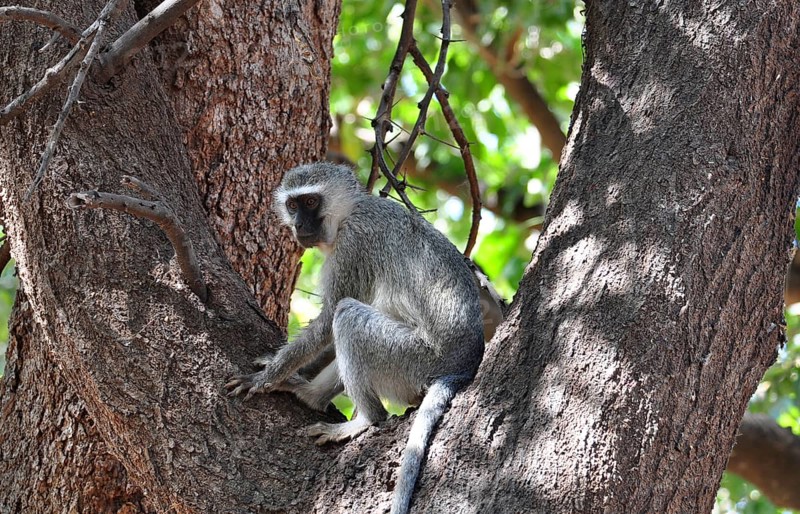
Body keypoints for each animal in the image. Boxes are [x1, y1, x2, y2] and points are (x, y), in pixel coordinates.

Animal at [226, 162, 485, 514]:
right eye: (292, 205)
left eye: (310, 202)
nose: (298, 224)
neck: (349, 212)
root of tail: (463, 366)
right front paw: (285, 372)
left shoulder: (353, 243)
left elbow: (327, 320)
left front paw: (265, 378)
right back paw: (310, 394)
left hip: (413, 360)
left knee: (347, 316)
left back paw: (364, 420)